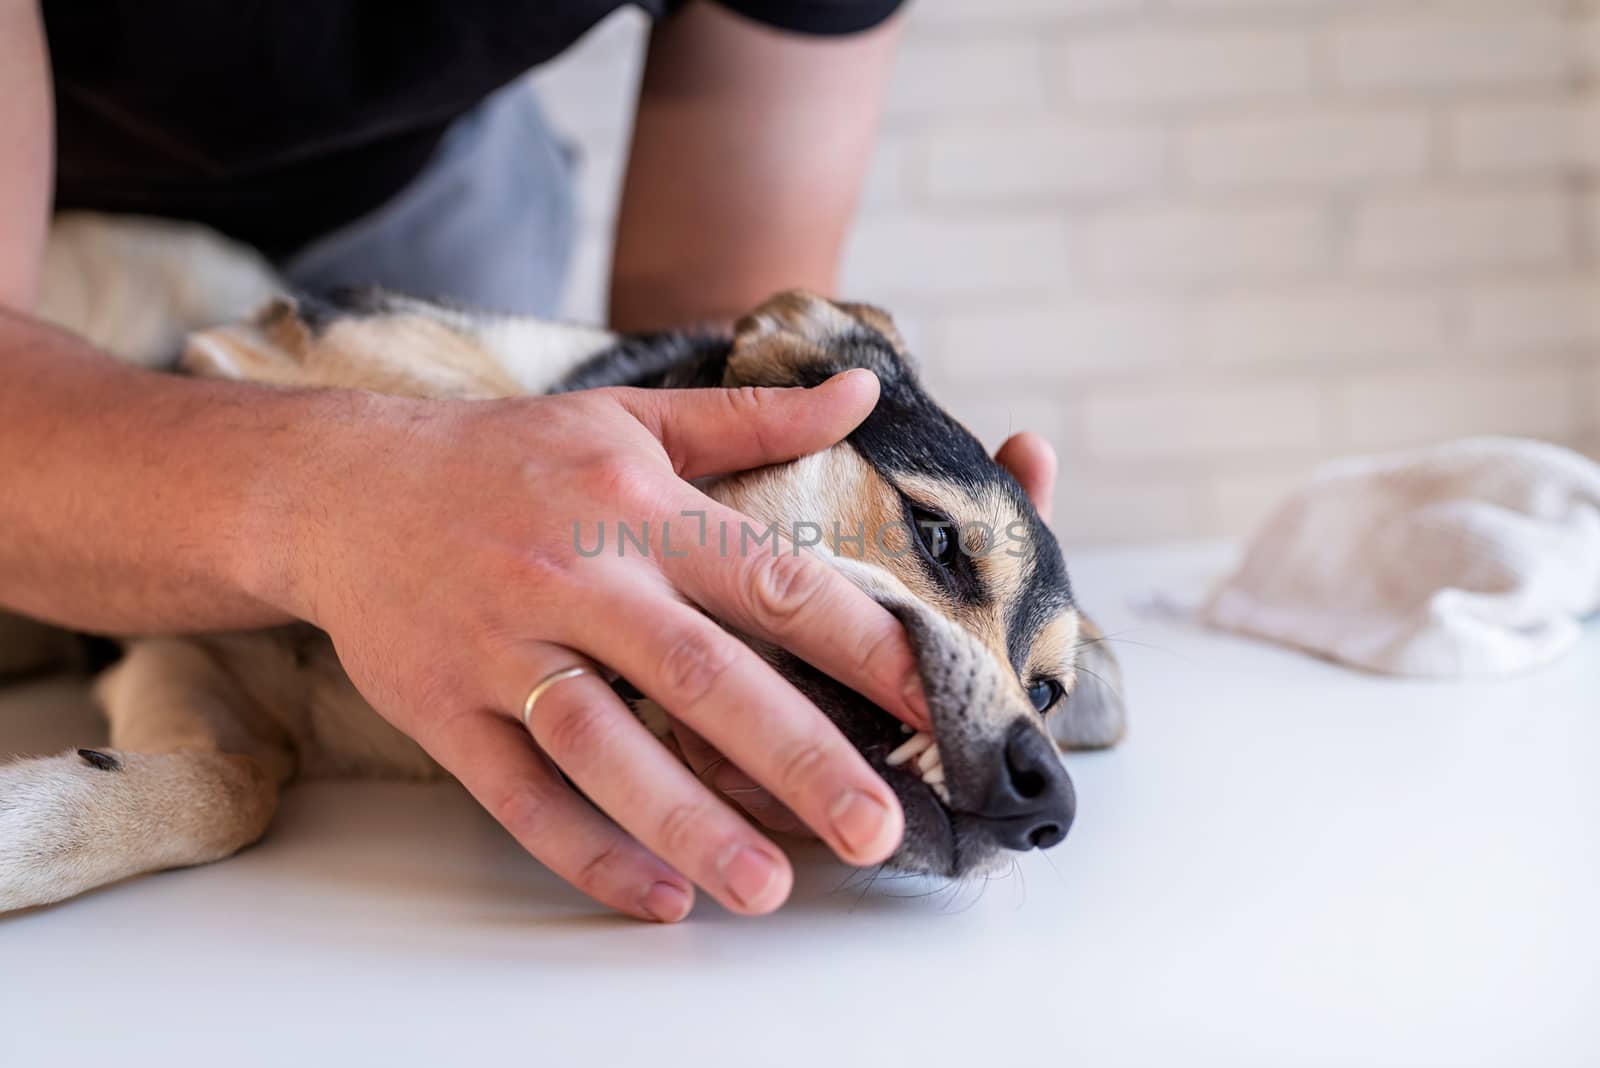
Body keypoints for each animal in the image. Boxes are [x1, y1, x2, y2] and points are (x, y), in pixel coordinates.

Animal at [0, 214, 1126, 908]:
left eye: (1048, 692)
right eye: (937, 538)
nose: (1050, 801)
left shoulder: (180, 670)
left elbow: (232, 785)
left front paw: (42, 818)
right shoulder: (281, 343)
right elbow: (486, 419)